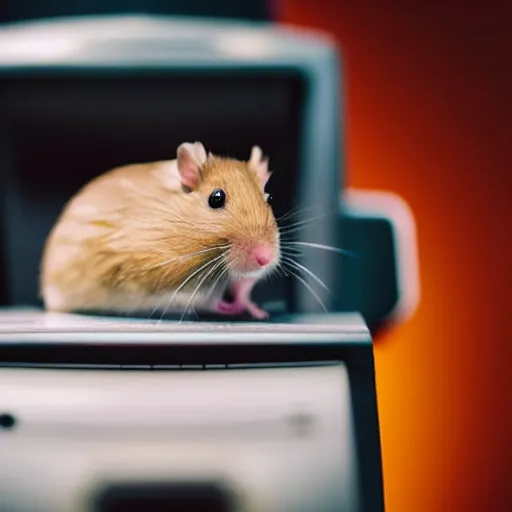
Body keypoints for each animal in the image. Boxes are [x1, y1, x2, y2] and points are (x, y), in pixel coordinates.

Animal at [40, 143, 280, 320]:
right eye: (216, 198)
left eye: (268, 199)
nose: (265, 258)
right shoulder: (153, 272)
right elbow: (206, 299)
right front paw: (234, 308)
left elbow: (242, 287)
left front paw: (259, 312)